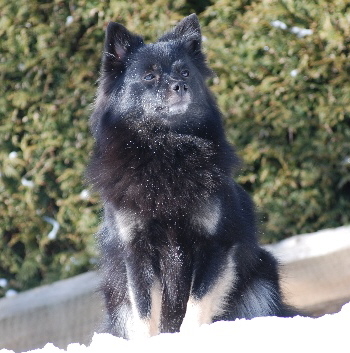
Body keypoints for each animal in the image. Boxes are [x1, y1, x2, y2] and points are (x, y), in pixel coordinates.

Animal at [87, 14, 296, 338]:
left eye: (185, 72)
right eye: (149, 76)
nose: (180, 86)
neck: (167, 149)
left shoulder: (214, 245)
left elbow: (197, 304)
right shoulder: (137, 253)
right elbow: (146, 313)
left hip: (263, 277)